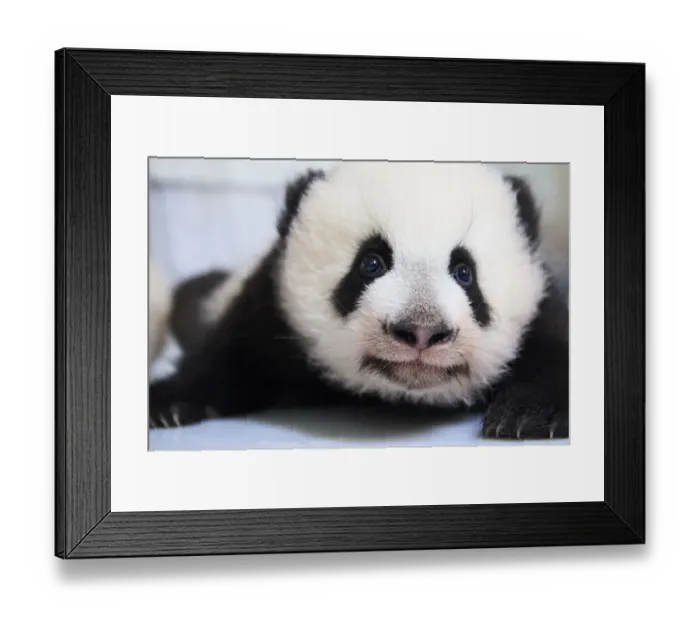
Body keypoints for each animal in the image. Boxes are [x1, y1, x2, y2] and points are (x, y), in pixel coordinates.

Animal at [150, 161, 569, 440]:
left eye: (465, 272)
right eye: (371, 263)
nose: (421, 331)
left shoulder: (540, 303)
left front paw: (527, 414)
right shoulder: (269, 307)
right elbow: (227, 355)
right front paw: (168, 405)